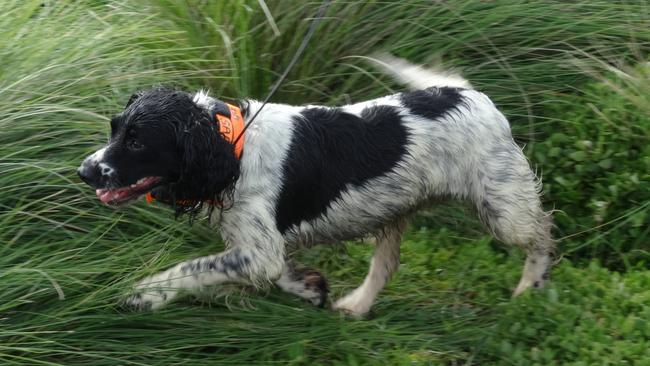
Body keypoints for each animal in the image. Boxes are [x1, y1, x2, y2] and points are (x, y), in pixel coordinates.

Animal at [76, 55, 552, 316]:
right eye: (115, 129)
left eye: (137, 141)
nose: (84, 171)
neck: (233, 145)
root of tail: (470, 94)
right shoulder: (262, 248)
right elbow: (277, 270)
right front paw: (308, 286)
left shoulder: (258, 251)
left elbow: (193, 268)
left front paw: (144, 295)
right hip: (395, 208)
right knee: (386, 264)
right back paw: (357, 305)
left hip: (503, 209)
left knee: (544, 234)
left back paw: (530, 289)